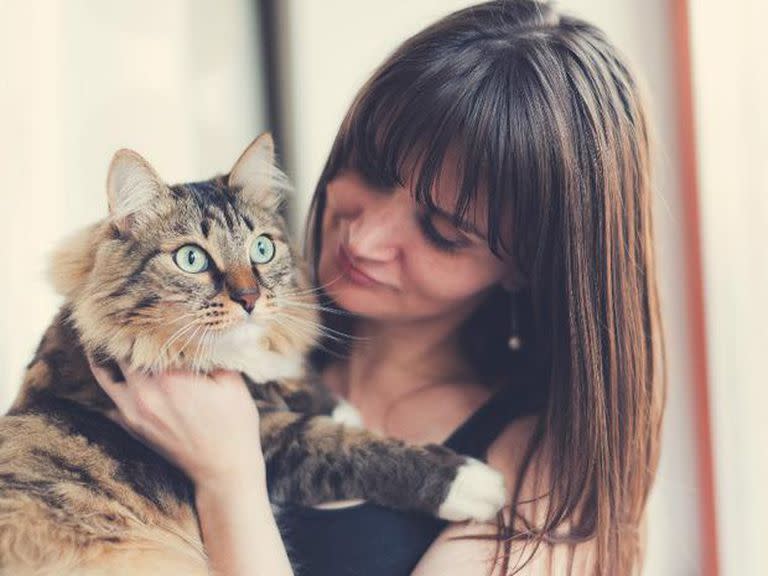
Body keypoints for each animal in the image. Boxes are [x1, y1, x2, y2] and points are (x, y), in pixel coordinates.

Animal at [0, 133, 508, 572]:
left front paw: (337, 404)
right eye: (191, 259)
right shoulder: (267, 440)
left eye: (261, 249)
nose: (249, 298)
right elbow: (344, 446)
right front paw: (474, 482)